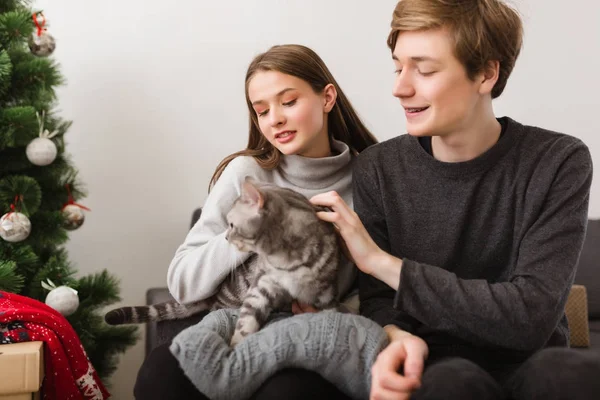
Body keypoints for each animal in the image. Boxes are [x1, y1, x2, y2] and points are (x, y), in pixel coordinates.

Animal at [104, 177, 342, 346]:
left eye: (232, 225)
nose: (226, 238)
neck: (285, 258)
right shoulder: (261, 285)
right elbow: (246, 324)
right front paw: (235, 348)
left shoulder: (326, 293)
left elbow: (332, 314)